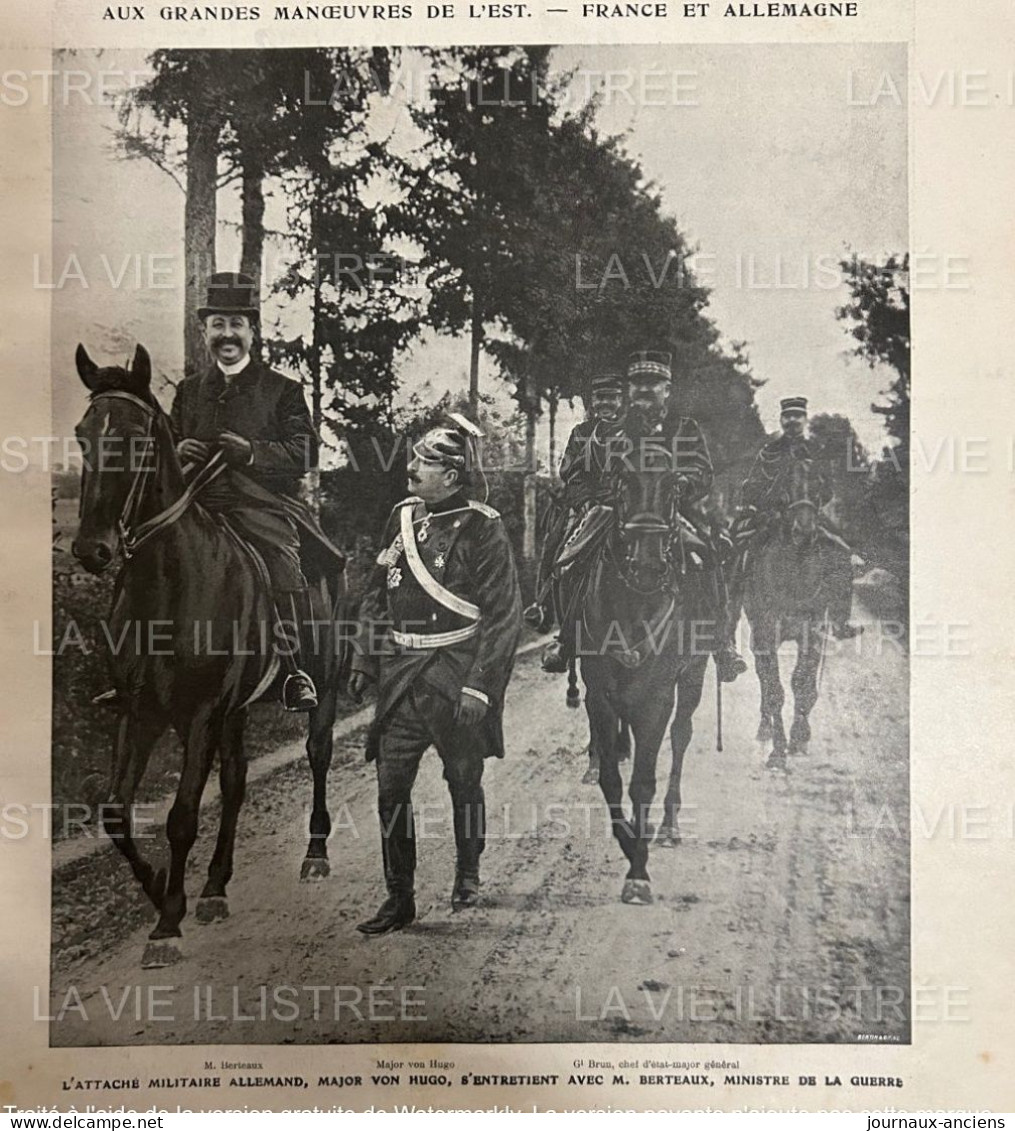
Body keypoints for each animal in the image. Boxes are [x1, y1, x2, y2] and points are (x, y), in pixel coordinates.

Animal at [70, 341, 348, 963]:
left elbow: (181, 816)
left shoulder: (199, 713)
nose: (92, 549)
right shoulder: (141, 711)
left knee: (318, 753)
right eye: (82, 433)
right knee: (237, 782)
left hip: (323, 686)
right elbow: (117, 813)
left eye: (138, 437)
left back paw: (316, 854)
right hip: (235, 710)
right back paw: (216, 886)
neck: (167, 583)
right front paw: (159, 893)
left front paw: (167, 921)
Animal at [570, 454, 715, 904]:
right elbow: (612, 781)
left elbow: (643, 783)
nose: (649, 567)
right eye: (622, 485)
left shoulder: (657, 699)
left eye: (674, 488)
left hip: (692, 677)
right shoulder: (599, 695)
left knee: (681, 736)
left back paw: (666, 824)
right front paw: (631, 841)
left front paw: (639, 870)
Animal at [742, 456, 841, 769]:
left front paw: (800, 736)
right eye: (786, 482)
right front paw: (778, 749)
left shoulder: (813, 632)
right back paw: (764, 728)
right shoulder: (765, 632)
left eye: (819, 484)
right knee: (764, 676)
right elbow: (775, 689)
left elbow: (803, 683)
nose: (805, 532)